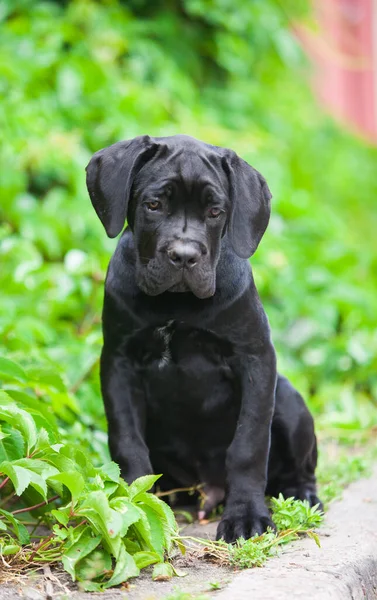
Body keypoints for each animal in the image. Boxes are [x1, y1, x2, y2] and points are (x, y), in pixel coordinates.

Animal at [85, 136, 320, 544]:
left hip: (289, 401)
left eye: (214, 211)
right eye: (154, 205)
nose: (184, 255)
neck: (176, 303)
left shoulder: (256, 359)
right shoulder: (118, 361)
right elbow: (127, 440)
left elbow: (248, 445)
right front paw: (135, 506)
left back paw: (302, 495)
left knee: (301, 469)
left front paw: (246, 517)